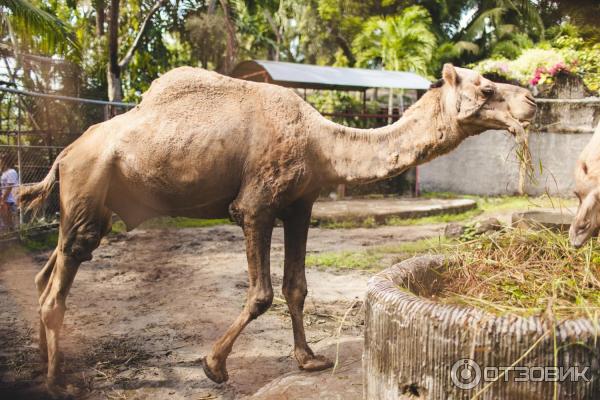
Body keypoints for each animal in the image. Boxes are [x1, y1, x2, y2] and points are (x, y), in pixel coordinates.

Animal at [19, 64, 536, 396]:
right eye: (485, 88)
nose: (531, 100)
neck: (321, 143)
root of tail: (63, 154)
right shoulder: (255, 206)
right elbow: (262, 293)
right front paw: (213, 366)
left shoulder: (300, 206)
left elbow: (296, 286)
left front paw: (310, 359)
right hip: (89, 188)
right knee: (58, 284)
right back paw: (58, 381)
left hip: (86, 203)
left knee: (47, 273)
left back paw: (42, 363)